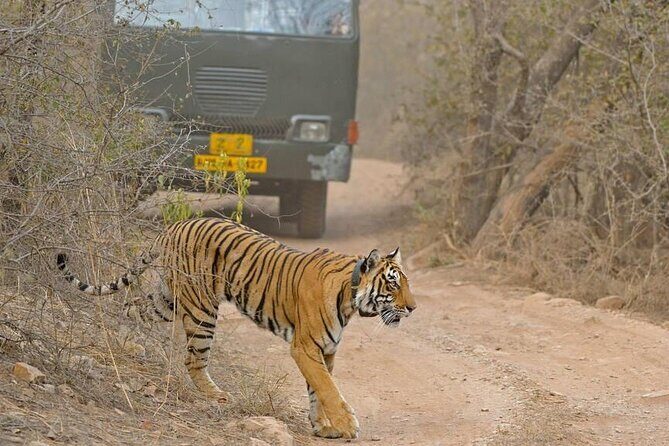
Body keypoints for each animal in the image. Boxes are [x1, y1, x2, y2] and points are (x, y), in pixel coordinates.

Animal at [56, 216, 416, 439]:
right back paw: (218, 396)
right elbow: (328, 389)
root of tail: (174, 225)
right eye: (393, 284)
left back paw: (116, 338)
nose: (413, 308)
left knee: (130, 307)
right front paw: (347, 425)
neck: (350, 298)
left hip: (167, 299)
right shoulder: (305, 347)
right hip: (201, 307)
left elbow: (318, 390)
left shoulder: (325, 351)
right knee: (193, 359)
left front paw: (324, 428)